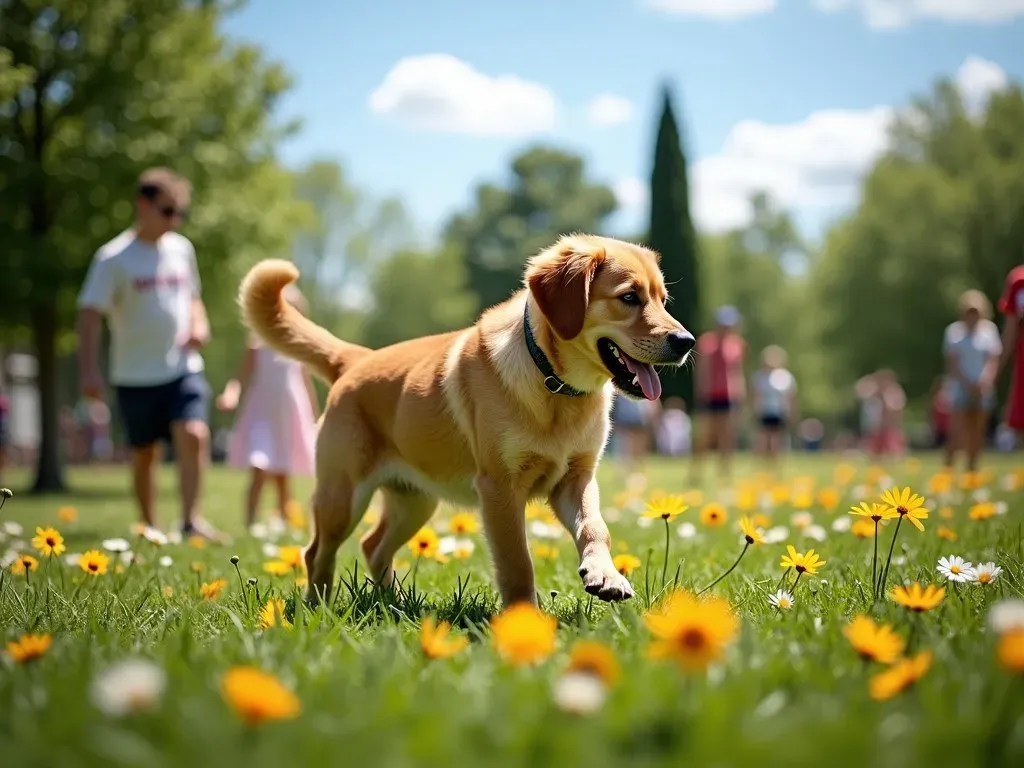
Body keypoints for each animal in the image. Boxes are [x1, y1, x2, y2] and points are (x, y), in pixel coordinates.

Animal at [239, 234, 696, 606]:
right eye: (629, 297)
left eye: (662, 300)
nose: (686, 341)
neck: (555, 387)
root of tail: (356, 359)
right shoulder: (499, 488)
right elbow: (517, 563)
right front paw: (524, 621)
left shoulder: (577, 479)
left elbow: (596, 528)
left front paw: (606, 575)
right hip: (342, 495)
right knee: (318, 551)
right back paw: (318, 608)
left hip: (415, 500)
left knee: (373, 545)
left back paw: (394, 603)